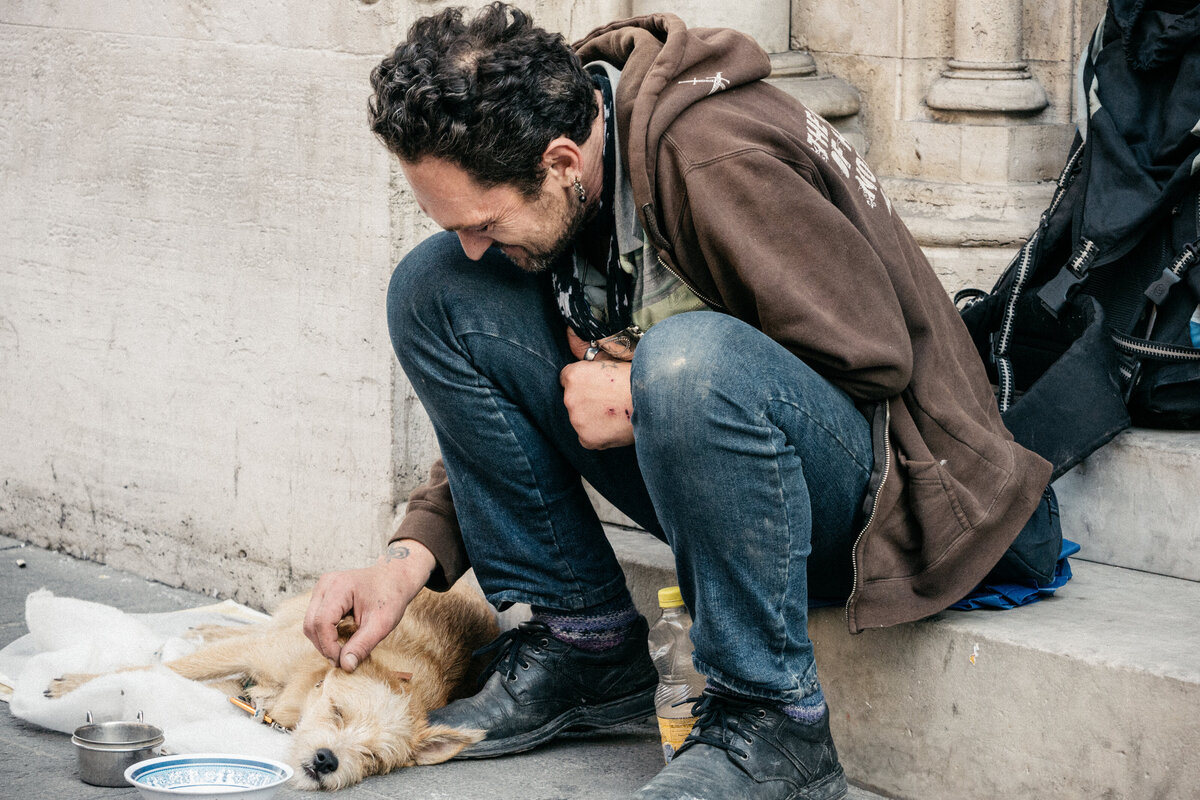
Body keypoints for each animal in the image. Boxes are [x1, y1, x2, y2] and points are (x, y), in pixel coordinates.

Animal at [46, 578, 496, 791]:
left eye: (372, 757)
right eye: (338, 713)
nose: (326, 761)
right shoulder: (256, 653)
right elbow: (170, 669)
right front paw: (76, 686)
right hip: (303, 612)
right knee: (255, 628)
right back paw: (209, 628)